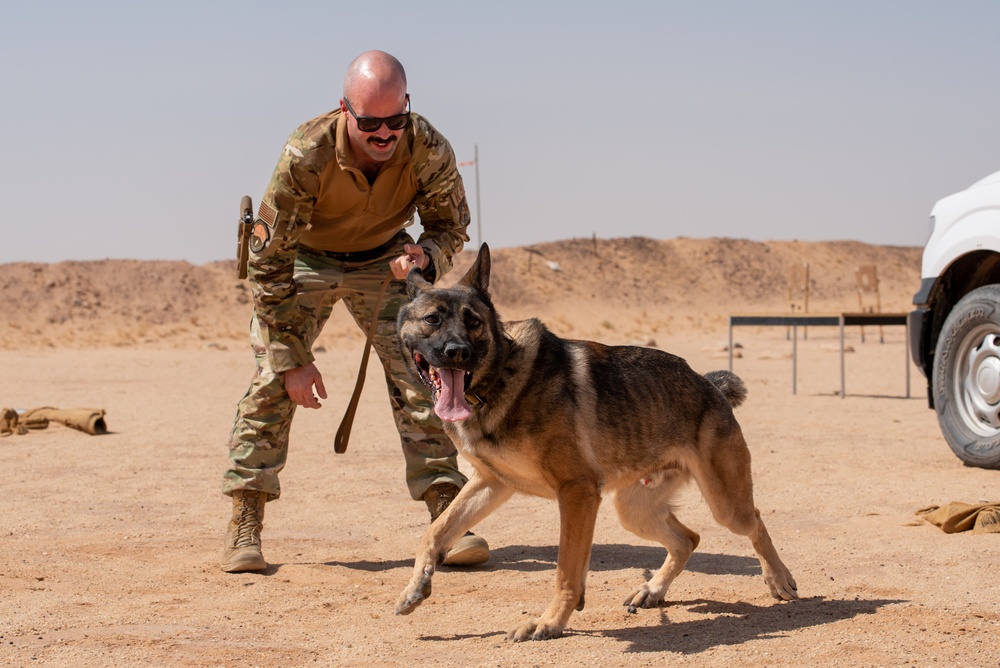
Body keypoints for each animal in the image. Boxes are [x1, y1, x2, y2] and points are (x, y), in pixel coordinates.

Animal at [394, 243, 792, 640]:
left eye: (473, 321)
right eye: (432, 319)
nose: (457, 352)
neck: (501, 377)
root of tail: (709, 383)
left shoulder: (577, 492)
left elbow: (566, 570)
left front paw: (550, 621)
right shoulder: (491, 483)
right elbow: (435, 533)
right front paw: (415, 586)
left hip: (725, 506)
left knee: (755, 522)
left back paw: (779, 579)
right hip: (634, 511)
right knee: (687, 539)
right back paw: (653, 589)